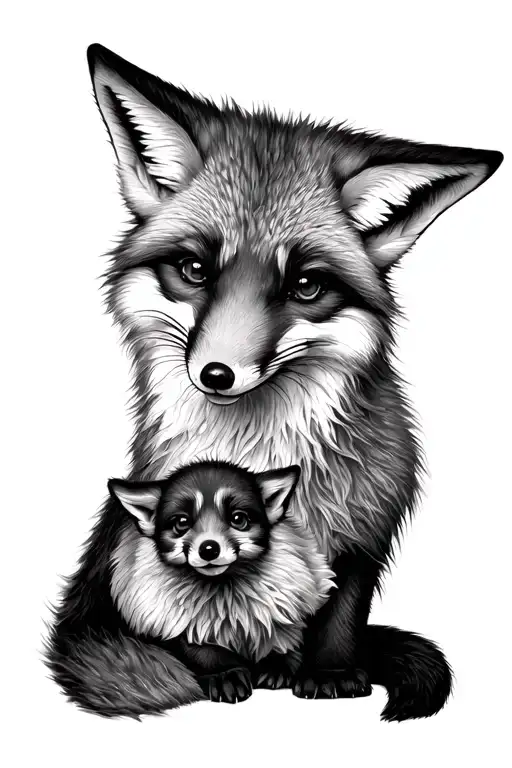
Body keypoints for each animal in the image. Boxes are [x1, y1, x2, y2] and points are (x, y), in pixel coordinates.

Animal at [108, 461, 335, 703]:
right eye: (181, 522)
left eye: (238, 519)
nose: (209, 549)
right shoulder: (178, 629)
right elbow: (204, 653)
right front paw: (226, 675)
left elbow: (286, 641)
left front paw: (277, 665)